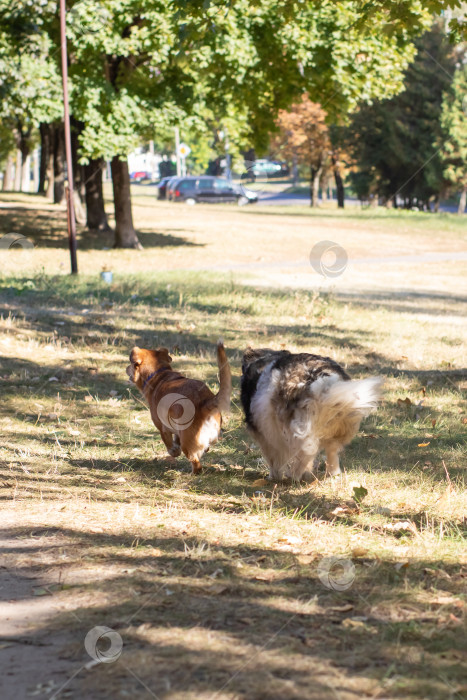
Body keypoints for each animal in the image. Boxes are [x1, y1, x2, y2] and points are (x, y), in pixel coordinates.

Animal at [127, 340, 231, 474]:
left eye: (131, 364)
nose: (126, 368)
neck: (158, 374)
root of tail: (205, 401)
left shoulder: (162, 427)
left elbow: (169, 443)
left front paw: (174, 451)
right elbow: (176, 438)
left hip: (187, 442)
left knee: (196, 463)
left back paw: (193, 473)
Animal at [241, 348, 384, 482]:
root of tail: (323, 379)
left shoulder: (266, 434)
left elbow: (273, 459)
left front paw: (274, 476)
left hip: (296, 429)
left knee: (306, 452)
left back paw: (294, 474)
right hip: (338, 427)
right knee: (331, 451)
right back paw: (332, 473)